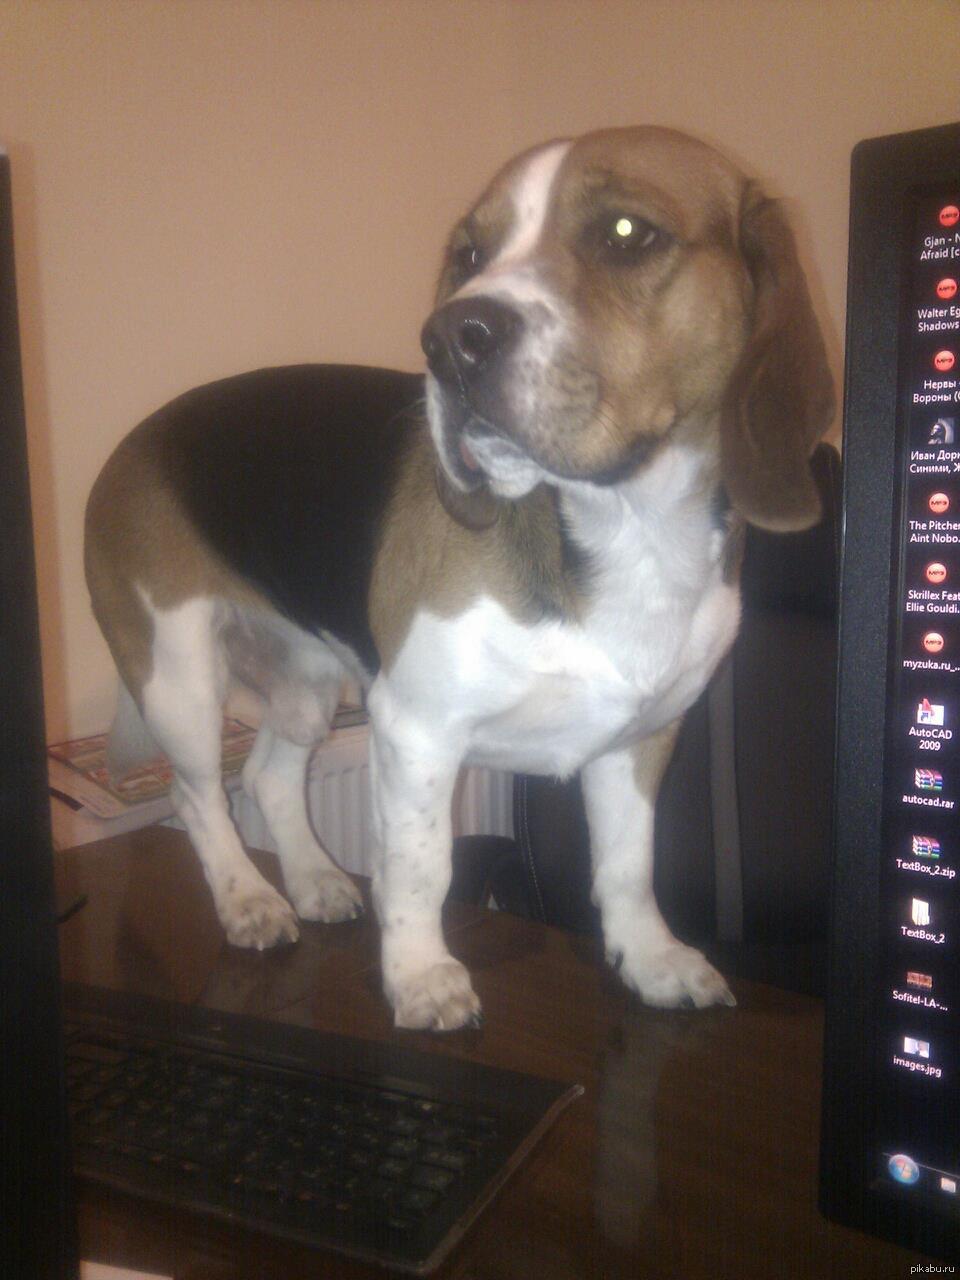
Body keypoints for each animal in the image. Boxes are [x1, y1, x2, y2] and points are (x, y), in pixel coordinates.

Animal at [85, 126, 834, 1030]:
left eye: (627, 233)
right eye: (471, 254)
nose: (448, 339)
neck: (628, 531)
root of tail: (137, 439)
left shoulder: (643, 739)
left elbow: (628, 867)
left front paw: (649, 959)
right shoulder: (414, 730)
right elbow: (421, 866)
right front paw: (419, 975)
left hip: (307, 684)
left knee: (268, 775)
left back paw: (313, 880)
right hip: (181, 680)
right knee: (199, 799)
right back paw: (248, 899)